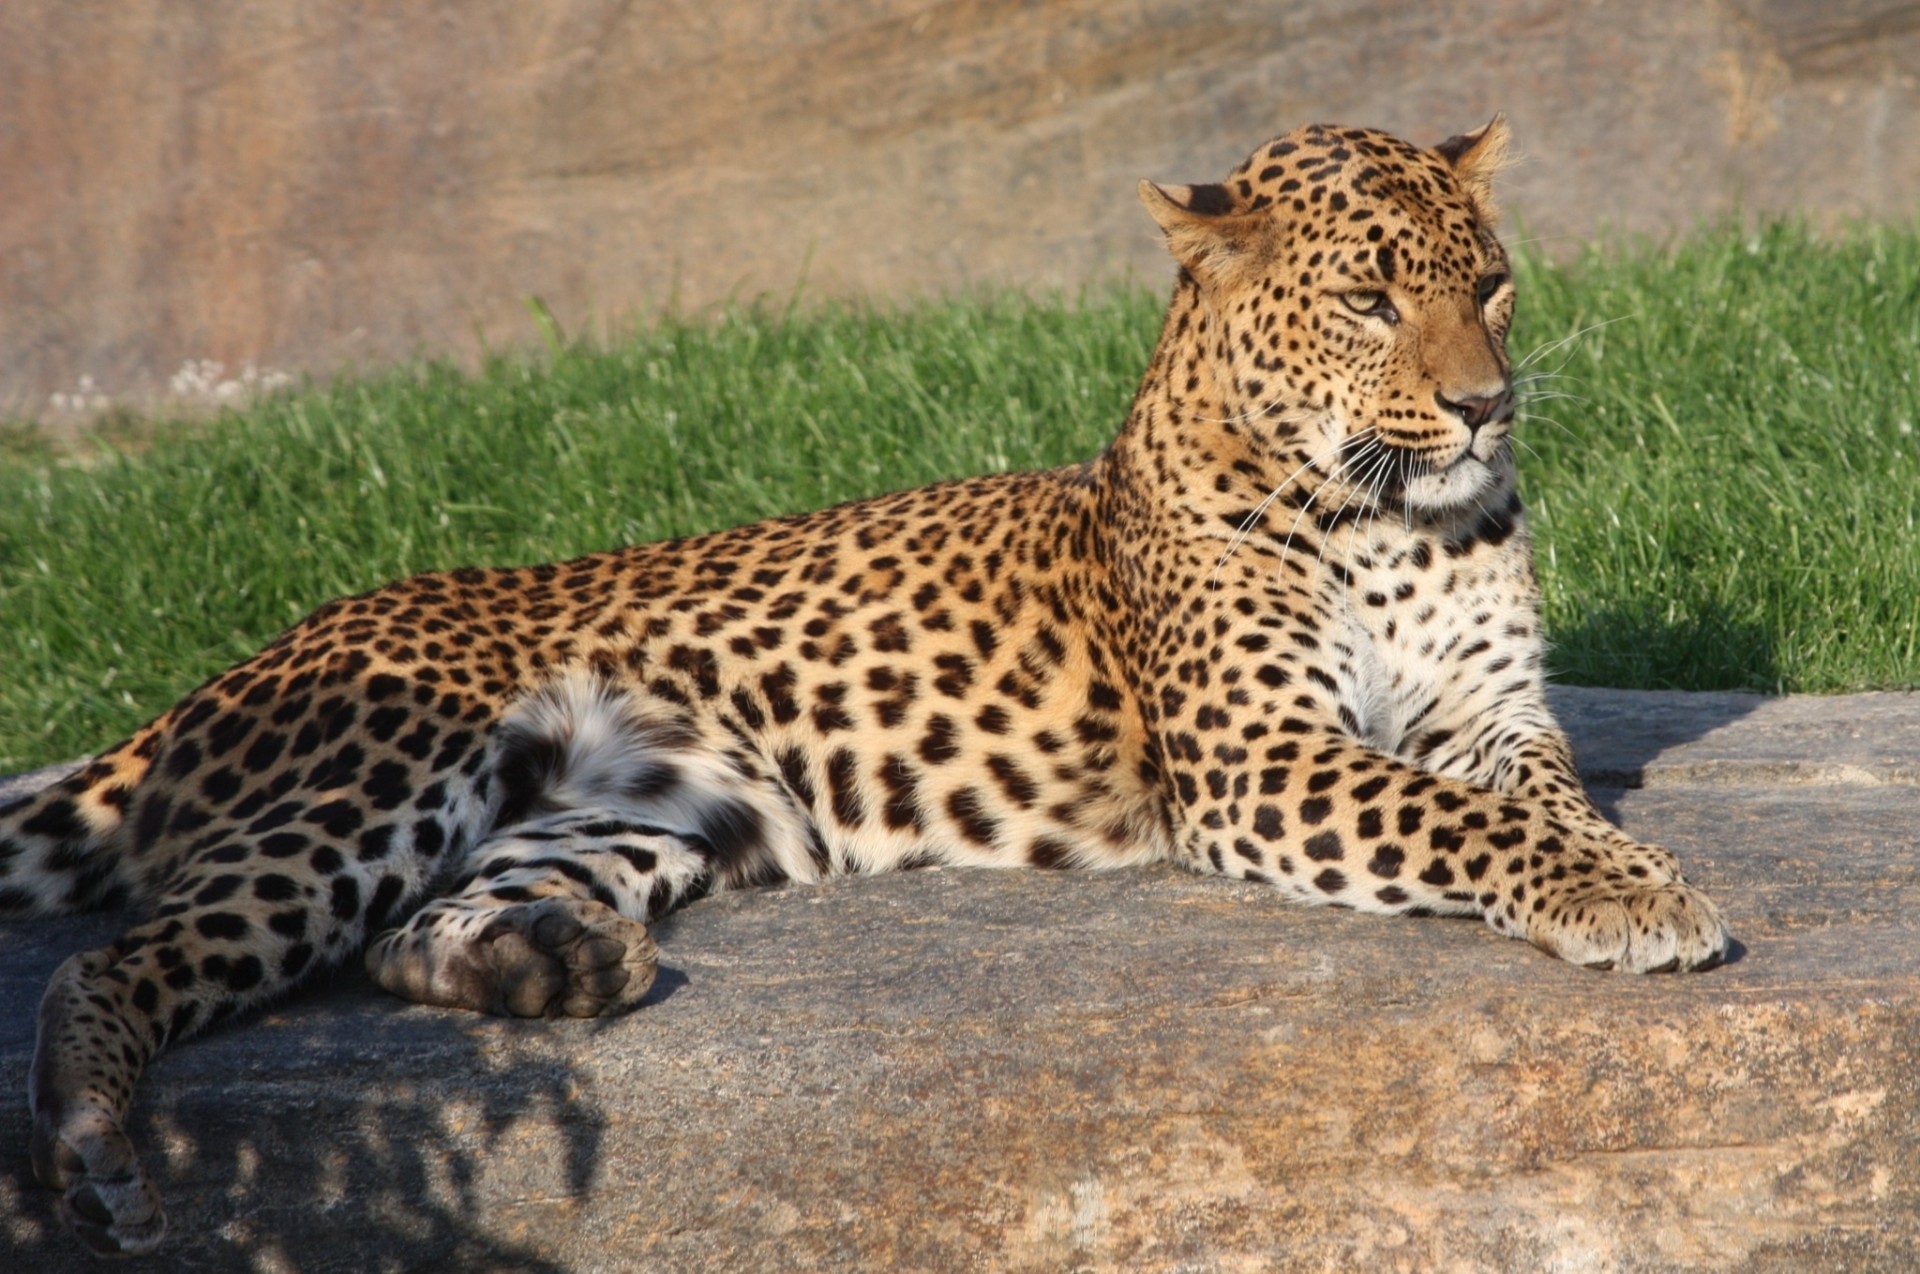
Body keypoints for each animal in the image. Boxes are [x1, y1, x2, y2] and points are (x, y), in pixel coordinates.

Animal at [1, 116, 1730, 1256]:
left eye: (1490, 283)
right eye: (1370, 298)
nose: (1486, 406)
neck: (1385, 515)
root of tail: (235, 664)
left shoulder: (1491, 711)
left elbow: (1533, 799)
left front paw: (1624, 864)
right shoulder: (1264, 757)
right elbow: (1457, 823)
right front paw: (1631, 896)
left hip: (638, 818)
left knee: (415, 930)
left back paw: (560, 966)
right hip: (380, 777)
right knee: (114, 959)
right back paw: (95, 1143)